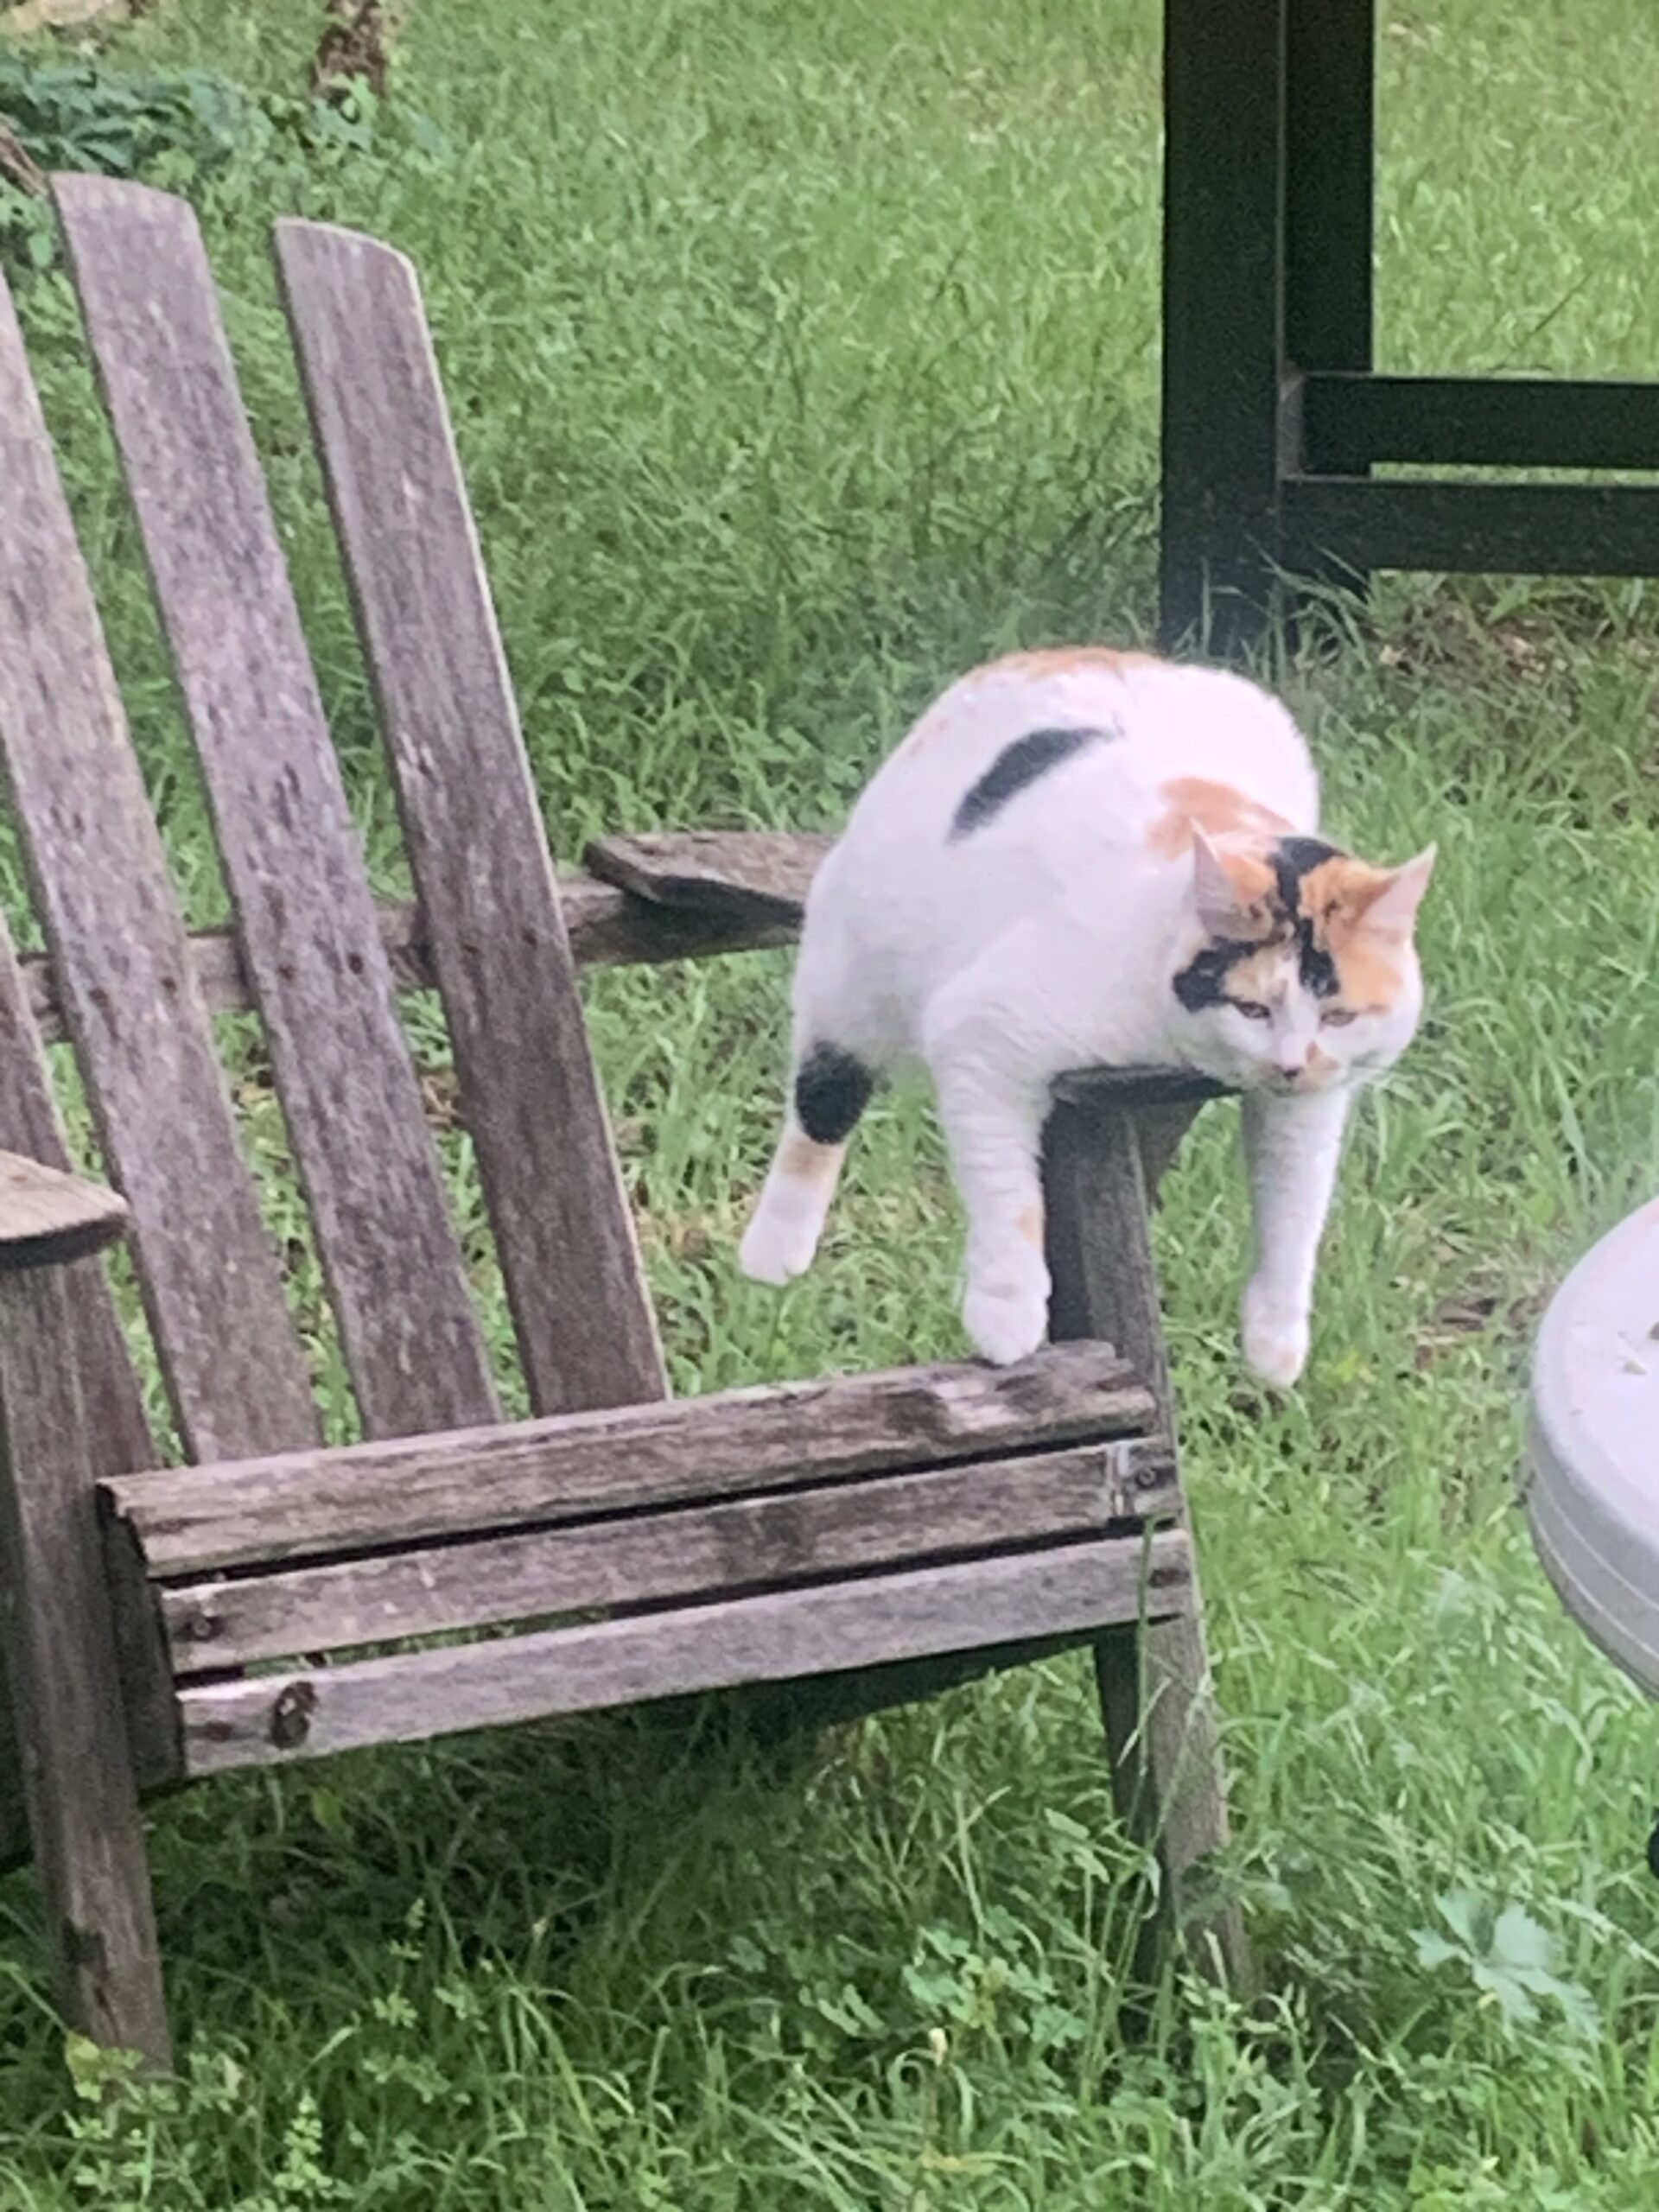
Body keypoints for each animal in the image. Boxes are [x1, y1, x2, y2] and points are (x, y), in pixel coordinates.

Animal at [739, 645, 1433, 1389]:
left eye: (1338, 1016)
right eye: (1252, 1007)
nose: (1291, 1063)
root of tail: (1059, 653)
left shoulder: (1311, 1104)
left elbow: (1296, 1207)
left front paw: (1275, 1343)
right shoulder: (983, 1029)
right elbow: (1008, 1193)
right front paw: (1007, 1314)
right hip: (855, 962)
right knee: (822, 1097)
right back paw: (773, 1254)